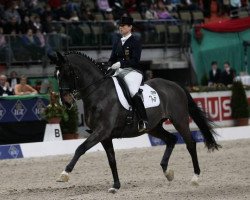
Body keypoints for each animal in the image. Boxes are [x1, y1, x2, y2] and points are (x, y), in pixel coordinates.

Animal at [48, 51, 221, 192]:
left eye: (67, 72)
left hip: (180, 120)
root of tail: (174, 84)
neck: (98, 92)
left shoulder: (102, 130)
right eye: (56, 75)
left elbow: (80, 148)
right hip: (153, 127)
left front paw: (64, 174)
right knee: (171, 139)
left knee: (190, 144)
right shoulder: (105, 136)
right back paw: (167, 172)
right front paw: (116, 186)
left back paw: (195, 178)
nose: (66, 102)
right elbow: (111, 159)